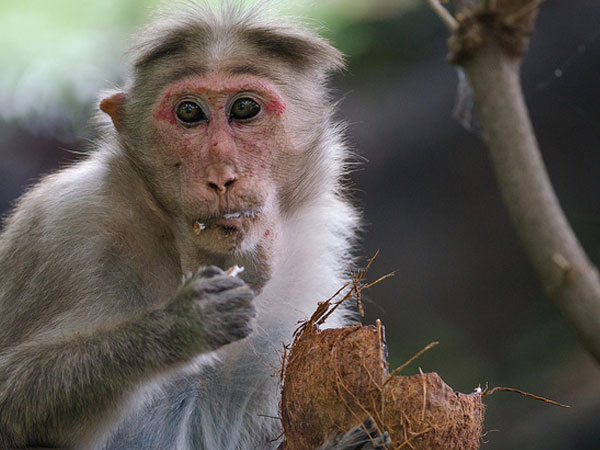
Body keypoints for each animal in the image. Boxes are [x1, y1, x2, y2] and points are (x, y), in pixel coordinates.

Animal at [0, 3, 392, 450]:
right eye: (189, 112)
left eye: (245, 109)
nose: (220, 176)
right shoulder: (67, 226)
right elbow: (8, 396)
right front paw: (179, 327)